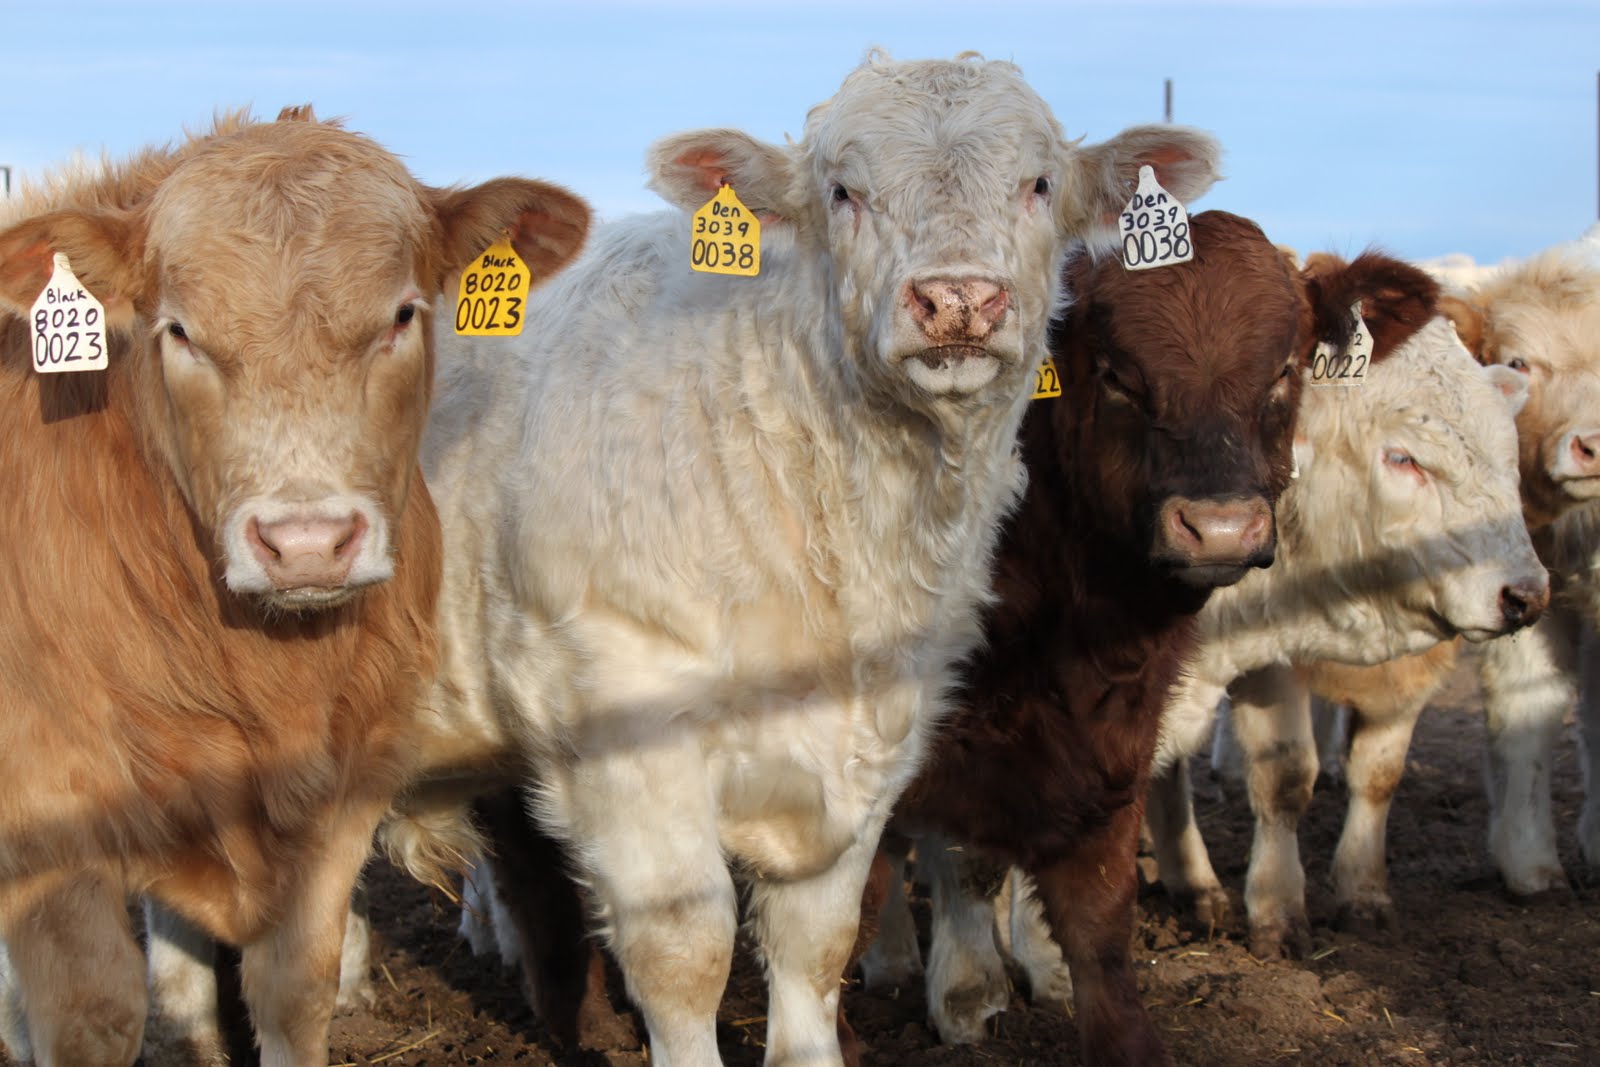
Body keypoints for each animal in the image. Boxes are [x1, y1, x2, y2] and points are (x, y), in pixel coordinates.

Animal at [0, 109, 590, 1067]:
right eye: (178, 330)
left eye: (402, 314)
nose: (306, 543)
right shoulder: (48, 819)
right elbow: (94, 1011)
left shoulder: (343, 795)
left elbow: (294, 990)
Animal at [375, 52, 1221, 1067]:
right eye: (844, 191)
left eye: (1039, 184)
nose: (958, 300)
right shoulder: (628, 745)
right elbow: (685, 954)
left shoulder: (874, 747)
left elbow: (818, 946)